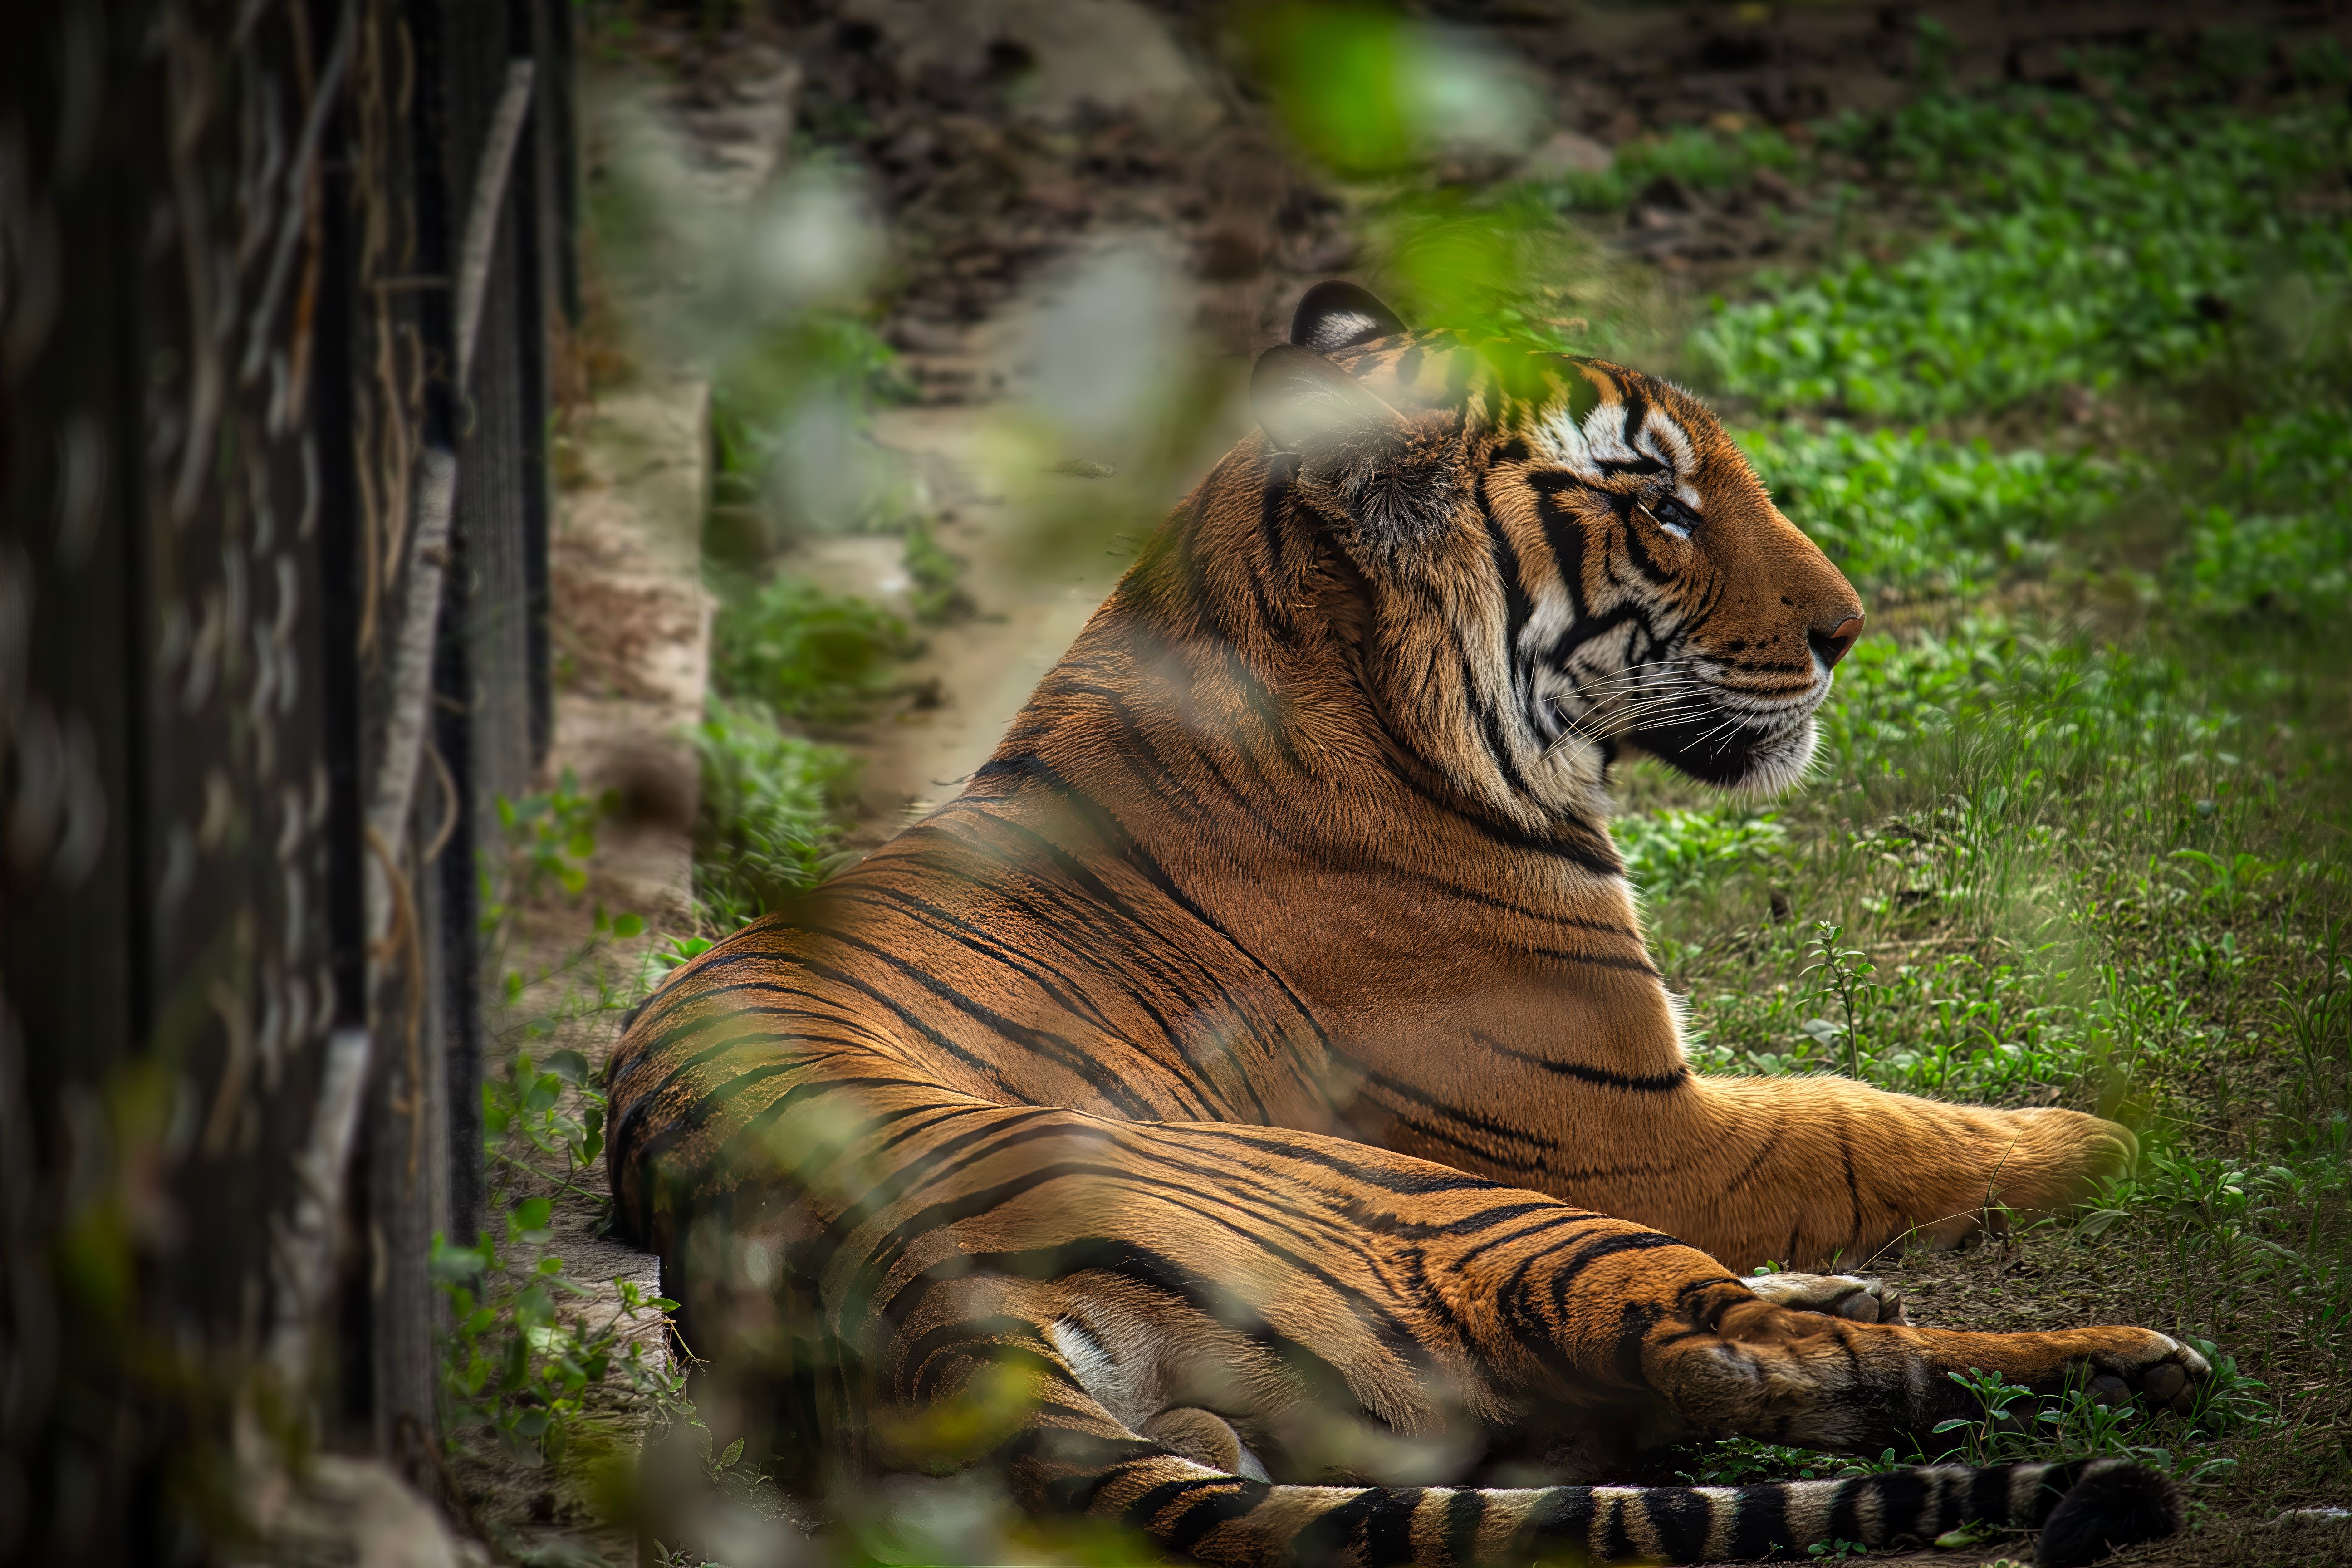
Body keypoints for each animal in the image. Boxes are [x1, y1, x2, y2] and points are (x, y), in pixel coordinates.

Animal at [606, 282, 2205, 1566]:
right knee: (1744, 1361)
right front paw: (2108, 1135)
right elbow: (1872, 1121)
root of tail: (912, 1312)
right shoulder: (1644, 1131)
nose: (1849, 633)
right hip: (1462, 1211)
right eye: (1661, 504)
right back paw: (2129, 1359)